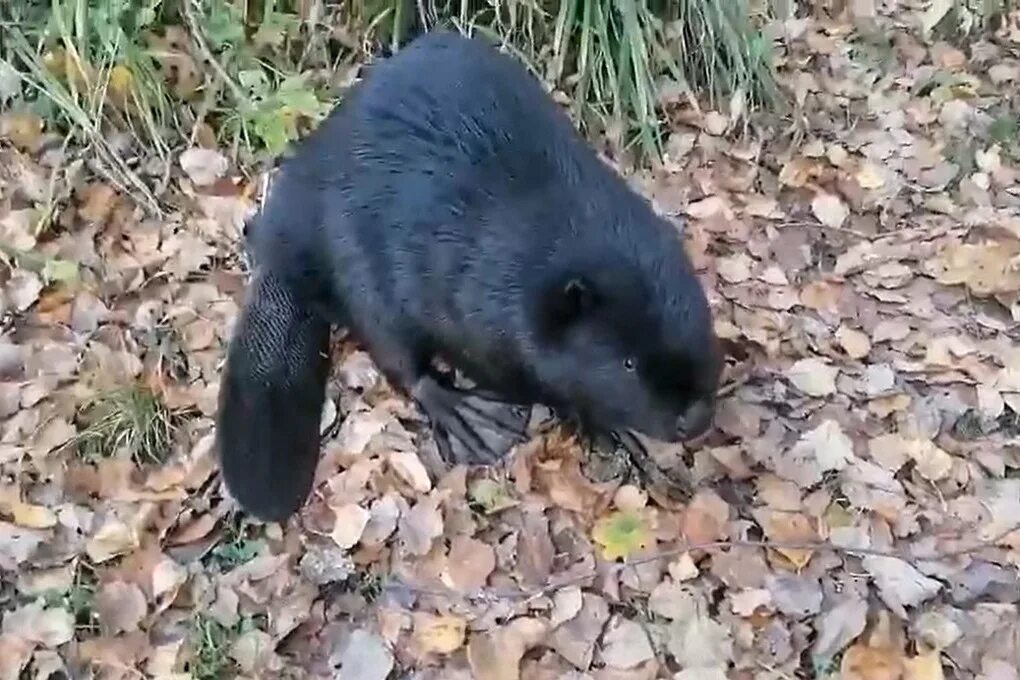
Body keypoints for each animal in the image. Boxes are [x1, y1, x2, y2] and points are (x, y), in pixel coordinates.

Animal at [216, 29, 726, 526]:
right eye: (628, 363)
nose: (697, 417)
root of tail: (281, 239)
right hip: (351, 254)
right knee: (395, 349)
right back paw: (468, 416)